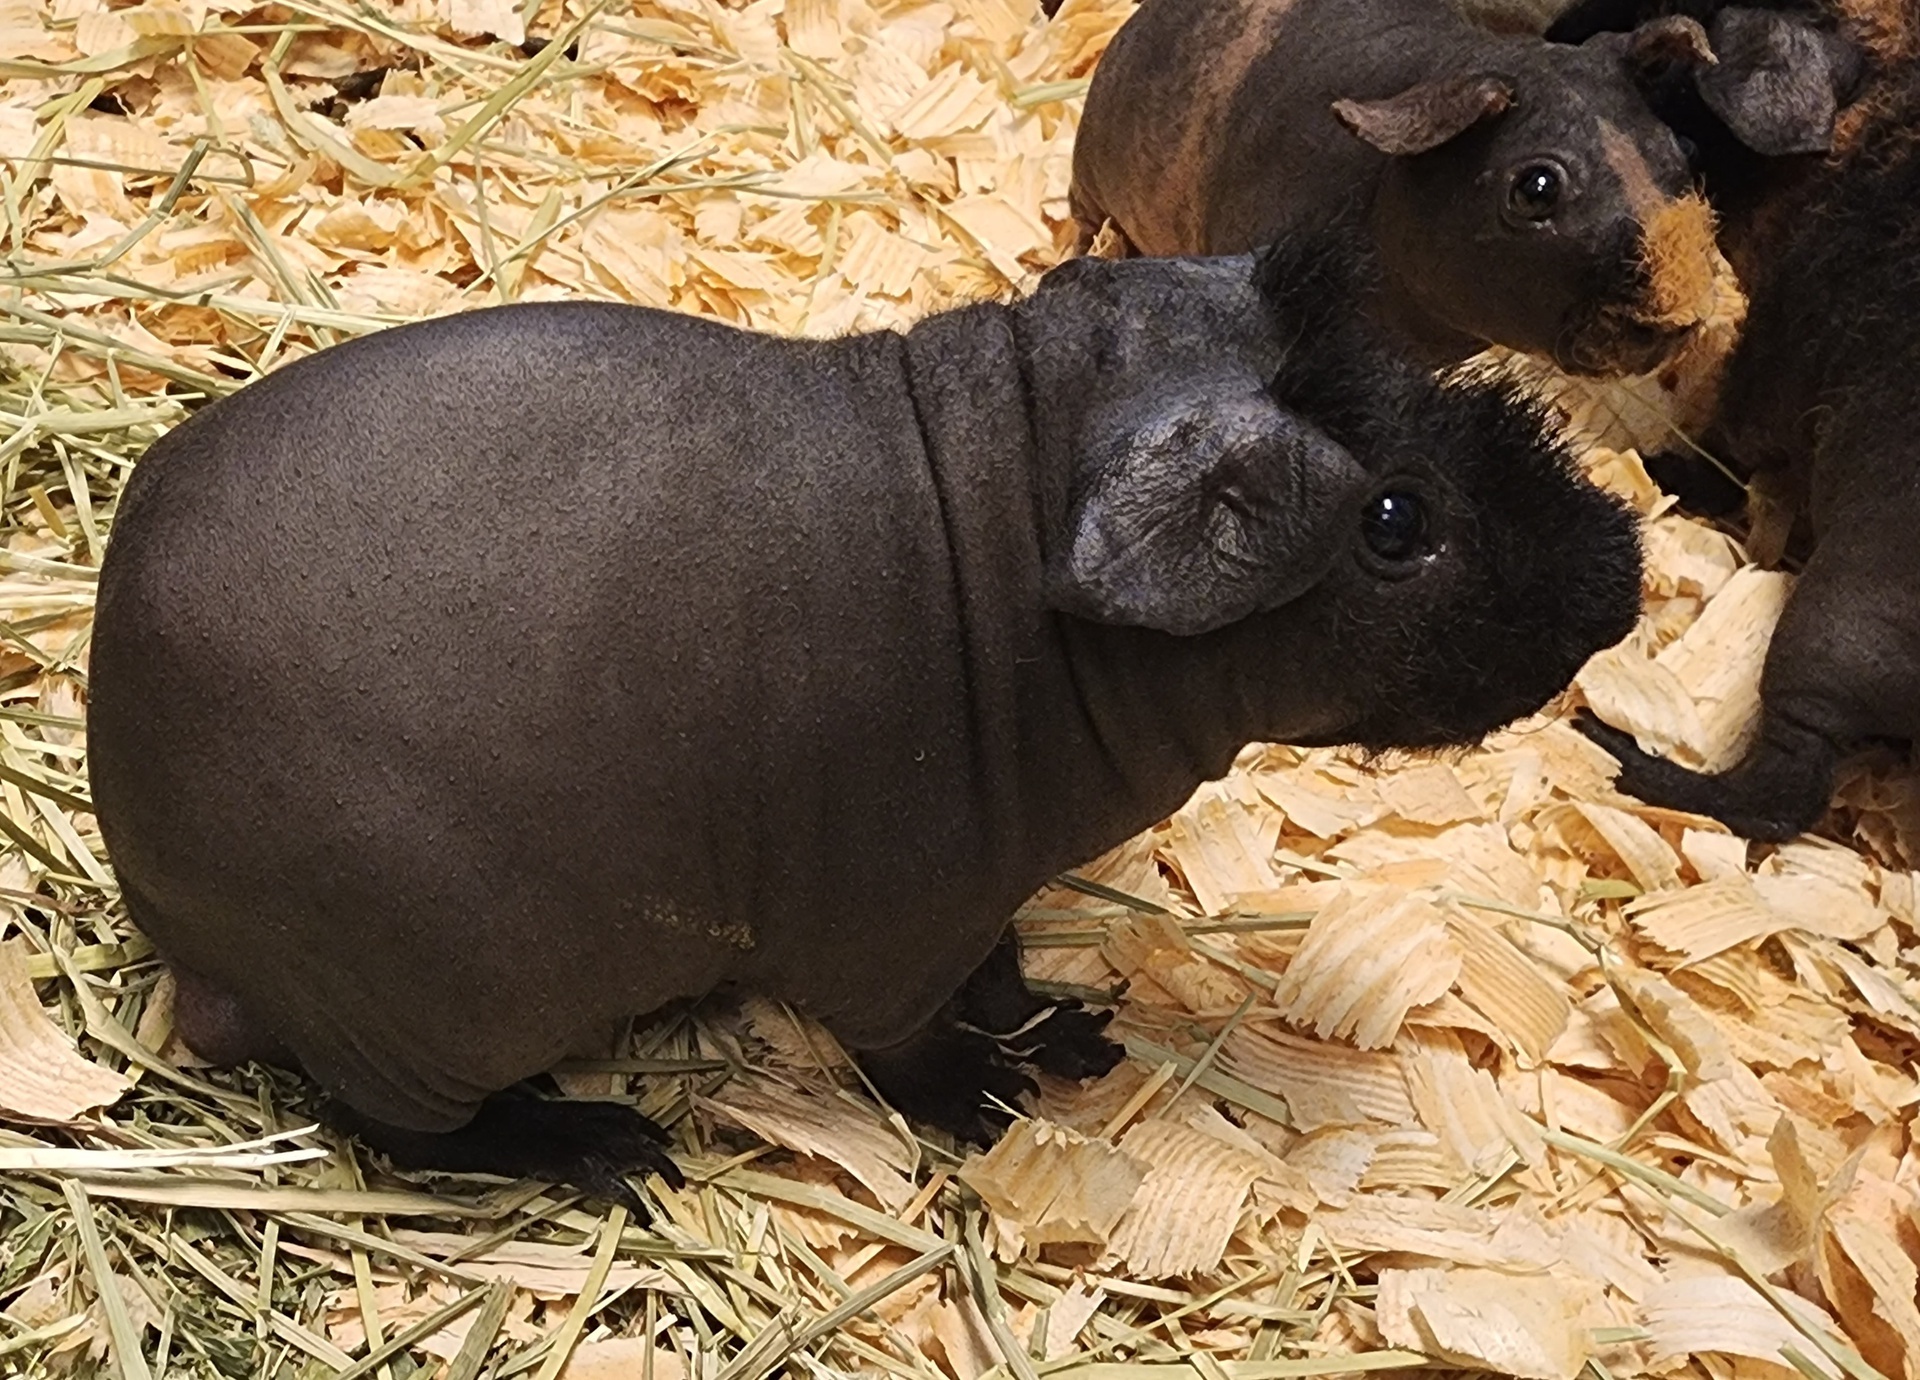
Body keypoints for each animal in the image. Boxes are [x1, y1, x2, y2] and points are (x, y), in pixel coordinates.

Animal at [87, 235, 1643, 1208]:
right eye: (1393, 521)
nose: (1623, 577)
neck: (999, 586)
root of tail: (191, 951)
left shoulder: (980, 910)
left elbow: (1006, 979)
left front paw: (1078, 1041)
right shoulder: (889, 945)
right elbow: (913, 1051)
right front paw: (997, 1105)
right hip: (437, 1025)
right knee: (409, 1131)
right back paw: (605, 1145)